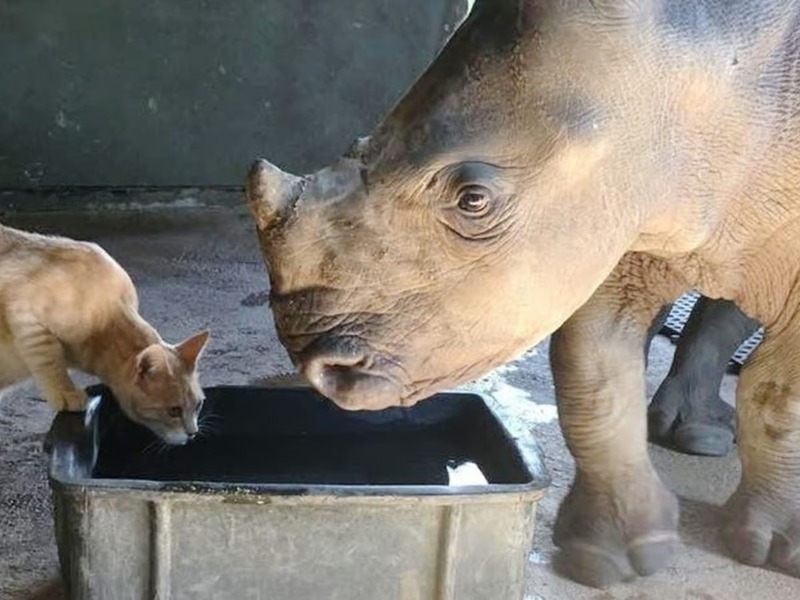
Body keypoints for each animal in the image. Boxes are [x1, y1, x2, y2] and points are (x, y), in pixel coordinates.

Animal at [0, 224, 209, 446]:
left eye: (198, 406)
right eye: (174, 411)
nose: (193, 433)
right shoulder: (26, 316)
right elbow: (50, 359)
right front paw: (66, 392)